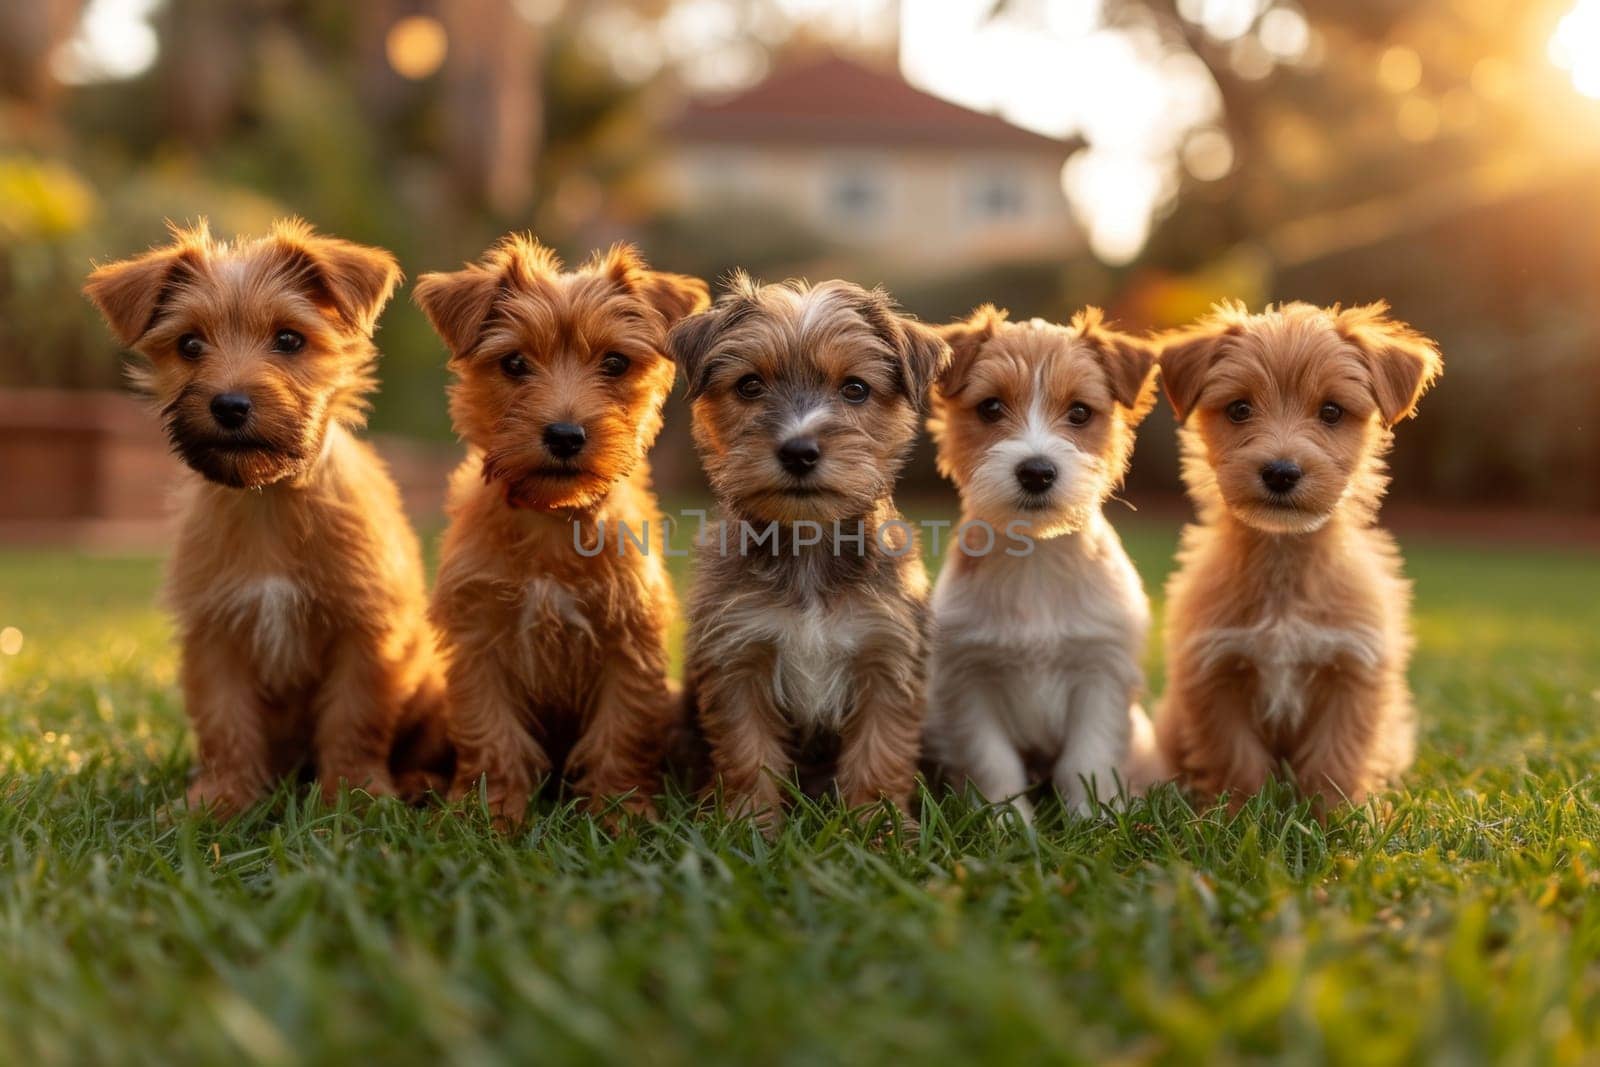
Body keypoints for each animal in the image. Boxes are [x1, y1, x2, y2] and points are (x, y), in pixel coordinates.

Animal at [86, 219, 451, 819]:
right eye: (190, 345)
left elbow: (354, 720)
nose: (230, 405)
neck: (268, 499)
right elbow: (226, 724)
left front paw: (353, 797)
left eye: (289, 340)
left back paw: (422, 782)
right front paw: (220, 799)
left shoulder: (363, 634)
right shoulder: (216, 635)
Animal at [416, 238, 710, 825]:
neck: (552, 518)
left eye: (615, 362)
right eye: (514, 363)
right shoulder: (478, 643)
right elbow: (492, 735)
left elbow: (620, 733)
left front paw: (620, 814)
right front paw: (490, 816)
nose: (565, 434)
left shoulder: (629, 643)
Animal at [665, 275, 947, 825]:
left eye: (855, 388)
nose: (798, 451)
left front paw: (878, 825)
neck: (808, 547)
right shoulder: (738, 657)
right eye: (750, 385)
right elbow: (747, 750)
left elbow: (880, 751)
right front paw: (748, 823)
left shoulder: (886, 658)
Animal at [928, 303, 1164, 825]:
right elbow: (993, 762)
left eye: (1079, 412)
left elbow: (1086, 760)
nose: (1036, 472)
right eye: (990, 408)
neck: (1036, 558)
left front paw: (1095, 820)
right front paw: (1005, 822)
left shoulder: (1100, 675)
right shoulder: (969, 683)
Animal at [1158, 300, 1446, 809]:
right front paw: (1240, 815)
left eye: (1331, 411)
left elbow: (1337, 757)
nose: (1280, 472)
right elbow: (1236, 757)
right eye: (1239, 409)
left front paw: (1340, 817)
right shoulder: (1214, 673)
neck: (1284, 559)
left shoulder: (1353, 670)